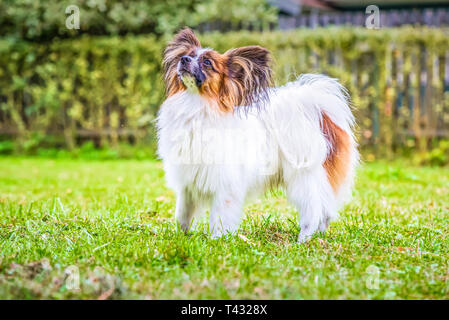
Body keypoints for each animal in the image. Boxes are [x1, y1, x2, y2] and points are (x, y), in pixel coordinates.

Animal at [156, 28, 358, 242]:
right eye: (187, 55)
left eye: (207, 63)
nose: (183, 59)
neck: (196, 106)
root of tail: (321, 115)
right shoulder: (188, 183)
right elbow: (183, 214)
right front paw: (182, 236)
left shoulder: (226, 186)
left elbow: (219, 217)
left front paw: (217, 241)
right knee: (325, 210)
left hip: (305, 178)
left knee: (314, 210)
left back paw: (303, 239)